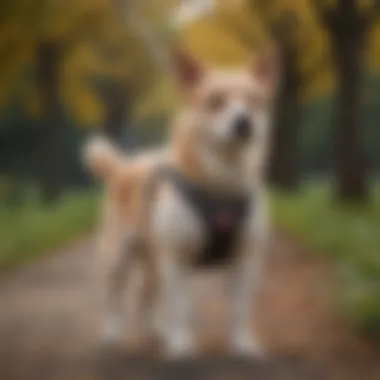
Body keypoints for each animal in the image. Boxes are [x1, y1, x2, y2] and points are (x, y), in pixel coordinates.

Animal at [84, 46, 280, 356]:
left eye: (254, 102)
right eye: (215, 101)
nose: (243, 122)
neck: (222, 182)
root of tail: (123, 166)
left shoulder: (245, 262)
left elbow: (240, 309)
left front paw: (242, 344)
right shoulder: (176, 261)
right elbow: (181, 308)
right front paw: (181, 346)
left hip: (154, 260)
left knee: (145, 298)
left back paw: (154, 333)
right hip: (118, 256)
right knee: (114, 296)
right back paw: (113, 334)